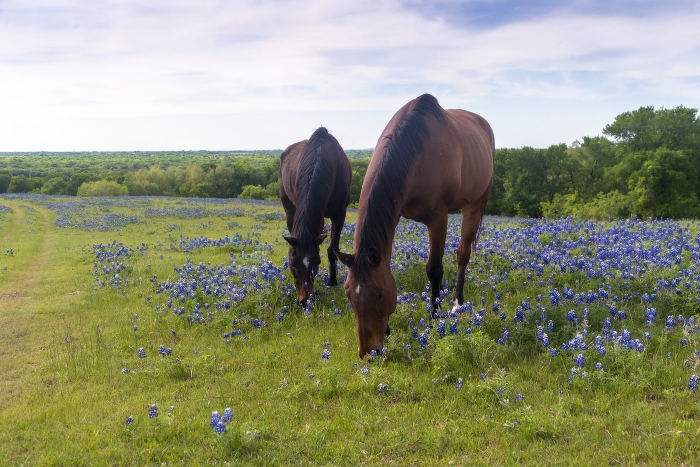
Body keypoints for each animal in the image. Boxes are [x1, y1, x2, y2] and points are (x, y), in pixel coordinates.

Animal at [279, 127, 352, 304]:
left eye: (317, 263)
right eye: (292, 264)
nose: (304, 300)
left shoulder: (340, 213)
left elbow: (333, 249)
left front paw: (332, 281)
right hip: (289, 207)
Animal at [334, 94, 494, 357]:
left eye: (380, 294)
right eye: (348, 292)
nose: (368, 352)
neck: (416, 151)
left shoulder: (438, 217)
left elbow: (435, 269)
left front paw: (433, 318)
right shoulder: (394, 213)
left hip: (474, 202)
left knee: (463, 254)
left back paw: (456, 304)